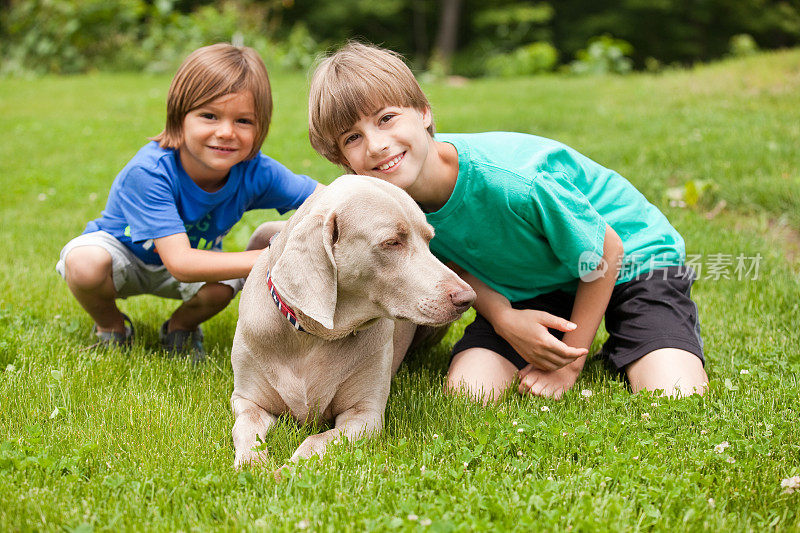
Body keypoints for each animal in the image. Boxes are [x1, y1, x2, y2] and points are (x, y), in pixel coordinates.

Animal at [231, 174, 476, 466]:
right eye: (392, 242)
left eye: (429, 240)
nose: (467, 298)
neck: (311, 336)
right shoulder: (246, 400)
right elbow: (245, 426)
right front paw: (252, 465)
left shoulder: (364, 416)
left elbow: (316, 441)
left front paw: (288, 469)